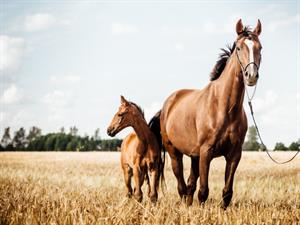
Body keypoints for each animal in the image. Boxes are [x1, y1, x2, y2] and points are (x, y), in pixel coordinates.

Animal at [156, 18, 262, 208]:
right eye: (239, 48)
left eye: (260, 48)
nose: (251, 75)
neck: (223, 108)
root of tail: (168, 104)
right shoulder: (206, 152)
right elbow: (203, 191)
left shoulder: (234, 154)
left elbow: (227, 192)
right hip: (174, 152)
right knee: (182, 186)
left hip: (194, 156)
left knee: (190, 184)